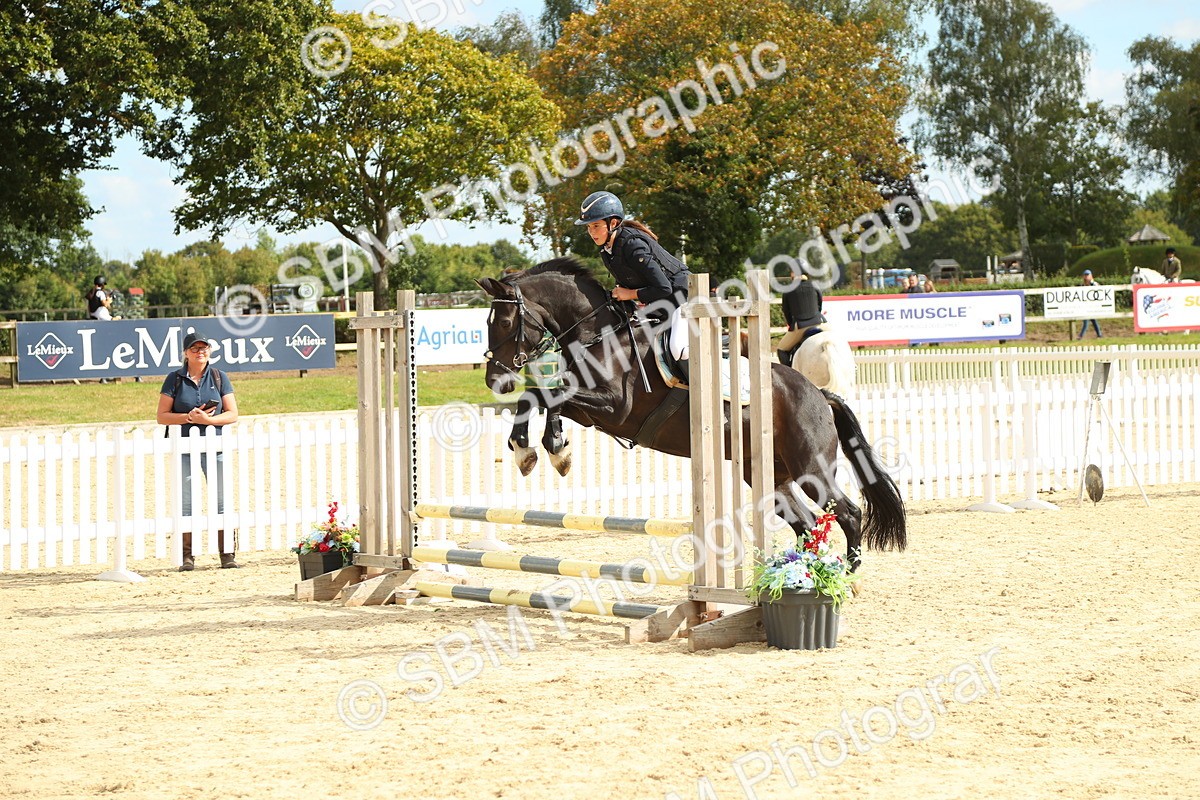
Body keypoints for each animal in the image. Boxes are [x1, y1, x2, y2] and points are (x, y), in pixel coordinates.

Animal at [477, 258, 906, 571]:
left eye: (504, 321)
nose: (494, 380)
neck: (599, 335)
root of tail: (819, 395)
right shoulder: (592, 410)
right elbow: (540, 397)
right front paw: (534, 450)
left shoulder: (615, 407)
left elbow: (549, 396)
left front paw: (551, 449)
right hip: (770, 475)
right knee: (806, 524)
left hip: (811, 467)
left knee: (848, 513)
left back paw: (846, 576)